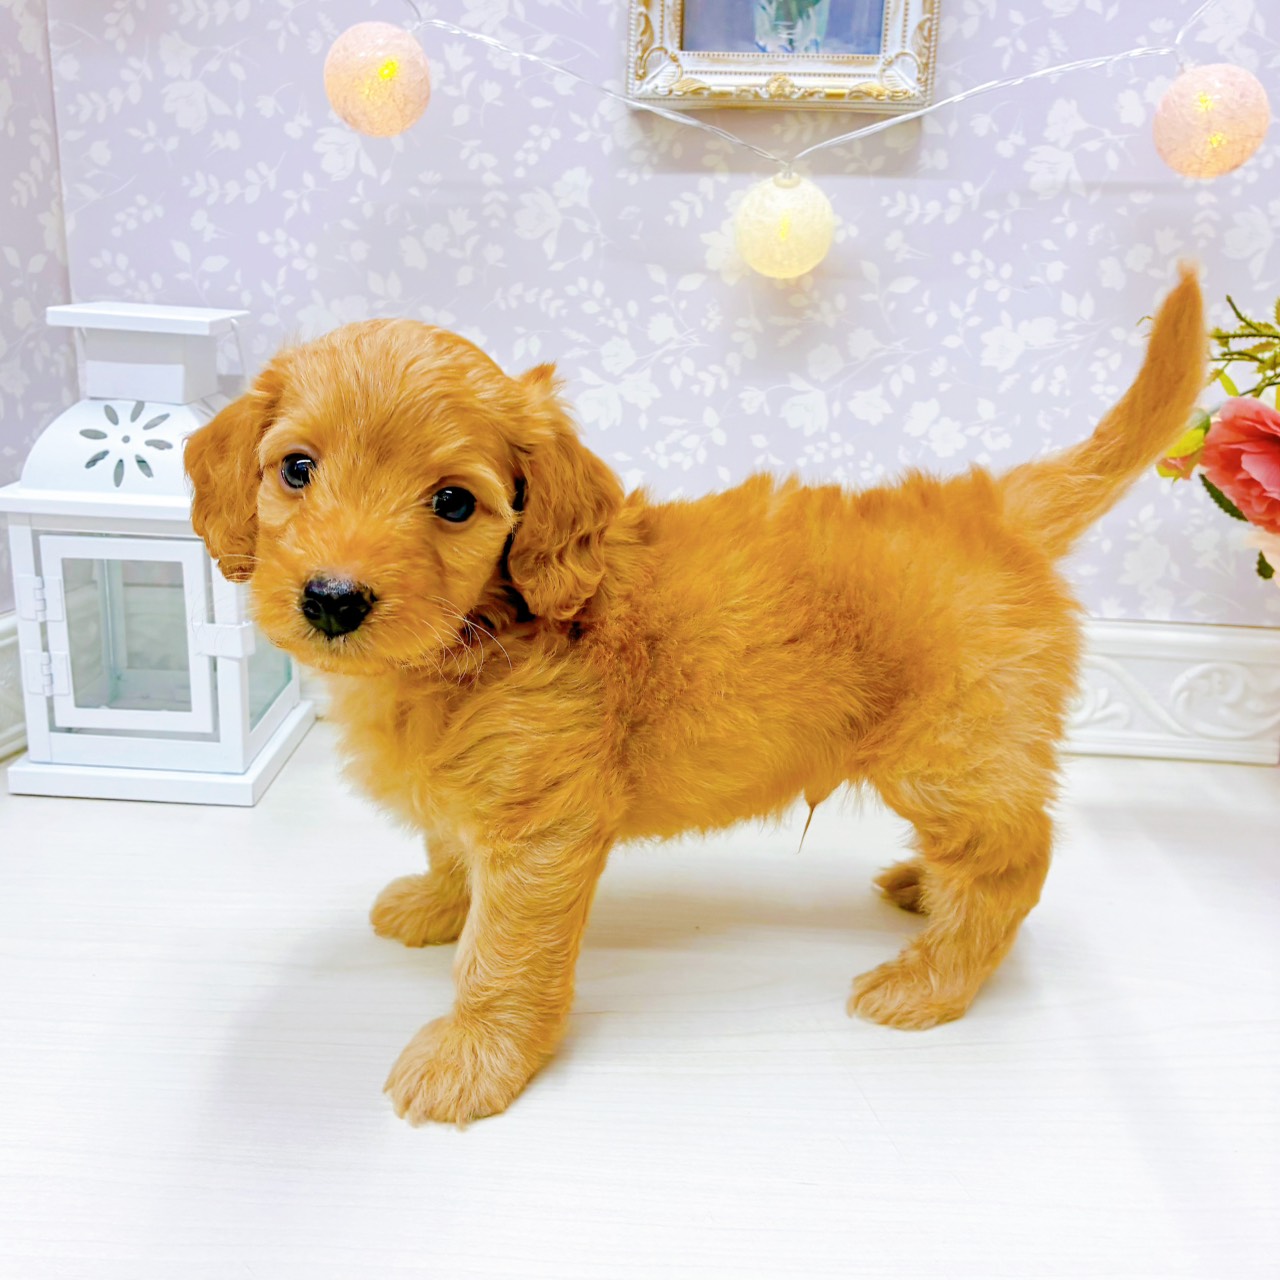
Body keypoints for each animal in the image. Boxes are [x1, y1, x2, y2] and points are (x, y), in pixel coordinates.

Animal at [185, 267, 1205, 1124]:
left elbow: (504, 957)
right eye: (298, 469)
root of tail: (992, 504)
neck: (481, 637)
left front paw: (475, 1058)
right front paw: (436, 905)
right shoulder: (476, 800)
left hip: (949, 752)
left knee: (1013, 860)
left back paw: (932, 981)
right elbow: (447, 845)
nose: (334, 598)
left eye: (454, 503)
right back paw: (925, 888)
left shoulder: (541, 832)